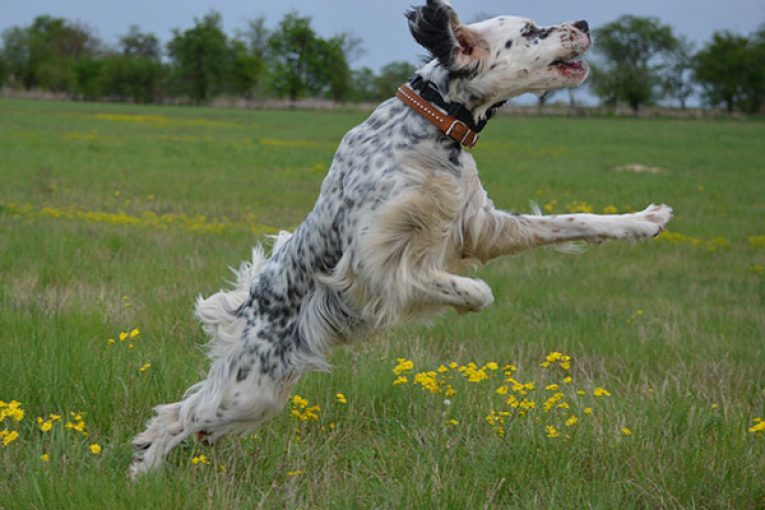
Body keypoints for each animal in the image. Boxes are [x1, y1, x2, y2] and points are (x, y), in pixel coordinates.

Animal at [130, 0, 668, 478]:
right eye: (532, 30)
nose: (585, 22)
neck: (434, 128)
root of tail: (249, 306)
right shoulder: (371, 262)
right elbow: (463, 286)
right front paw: (466, 298)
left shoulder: (481, 227)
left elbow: (573, 220)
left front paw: (645, 219)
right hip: (250, 388)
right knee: (175, 415)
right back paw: (142, 475)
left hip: (258, 393)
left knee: (190, 415)